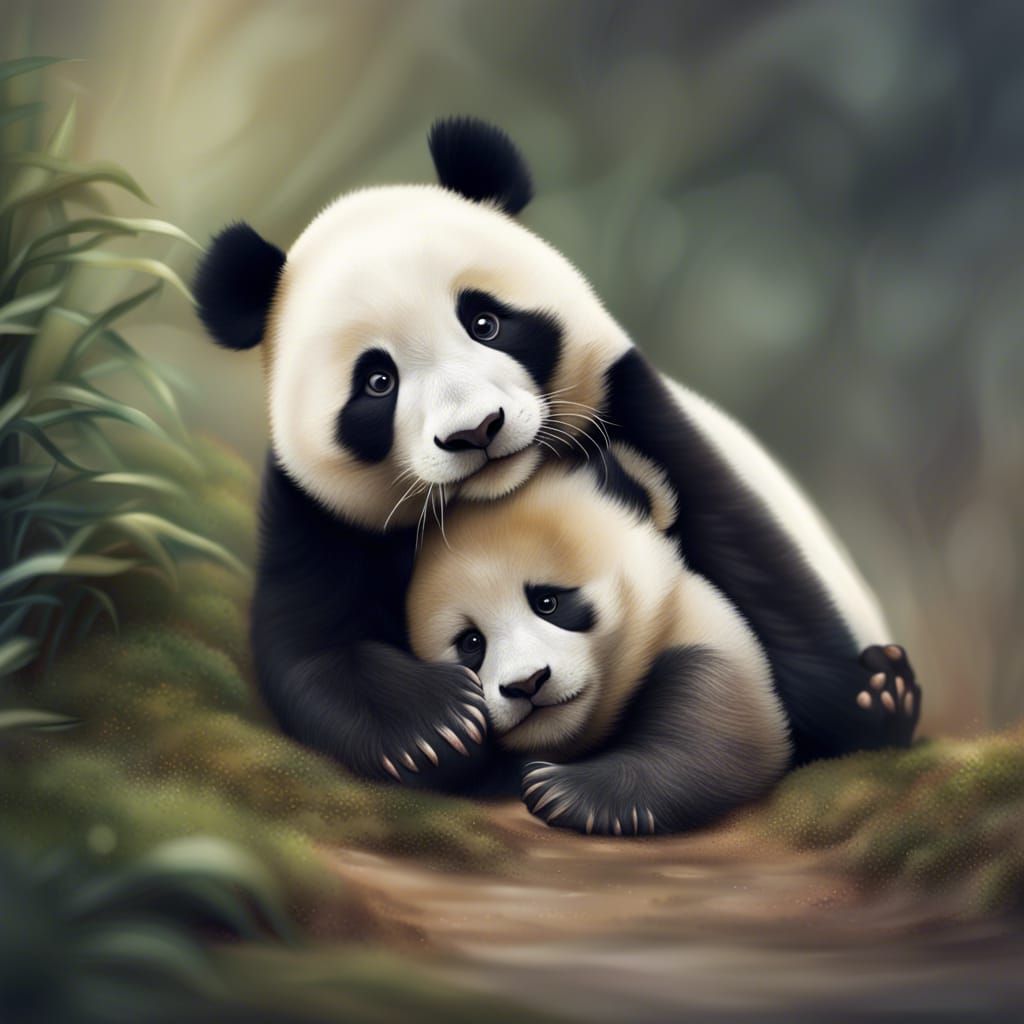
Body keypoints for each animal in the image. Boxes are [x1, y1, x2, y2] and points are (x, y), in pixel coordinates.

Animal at [194, 116, 920, 790]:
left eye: (484, 322)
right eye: (377, 382)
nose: (477, 430)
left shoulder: (634, 408)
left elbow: (749, 556)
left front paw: (870, 701)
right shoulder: (312, 508)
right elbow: (310, 642)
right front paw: (431, 724)